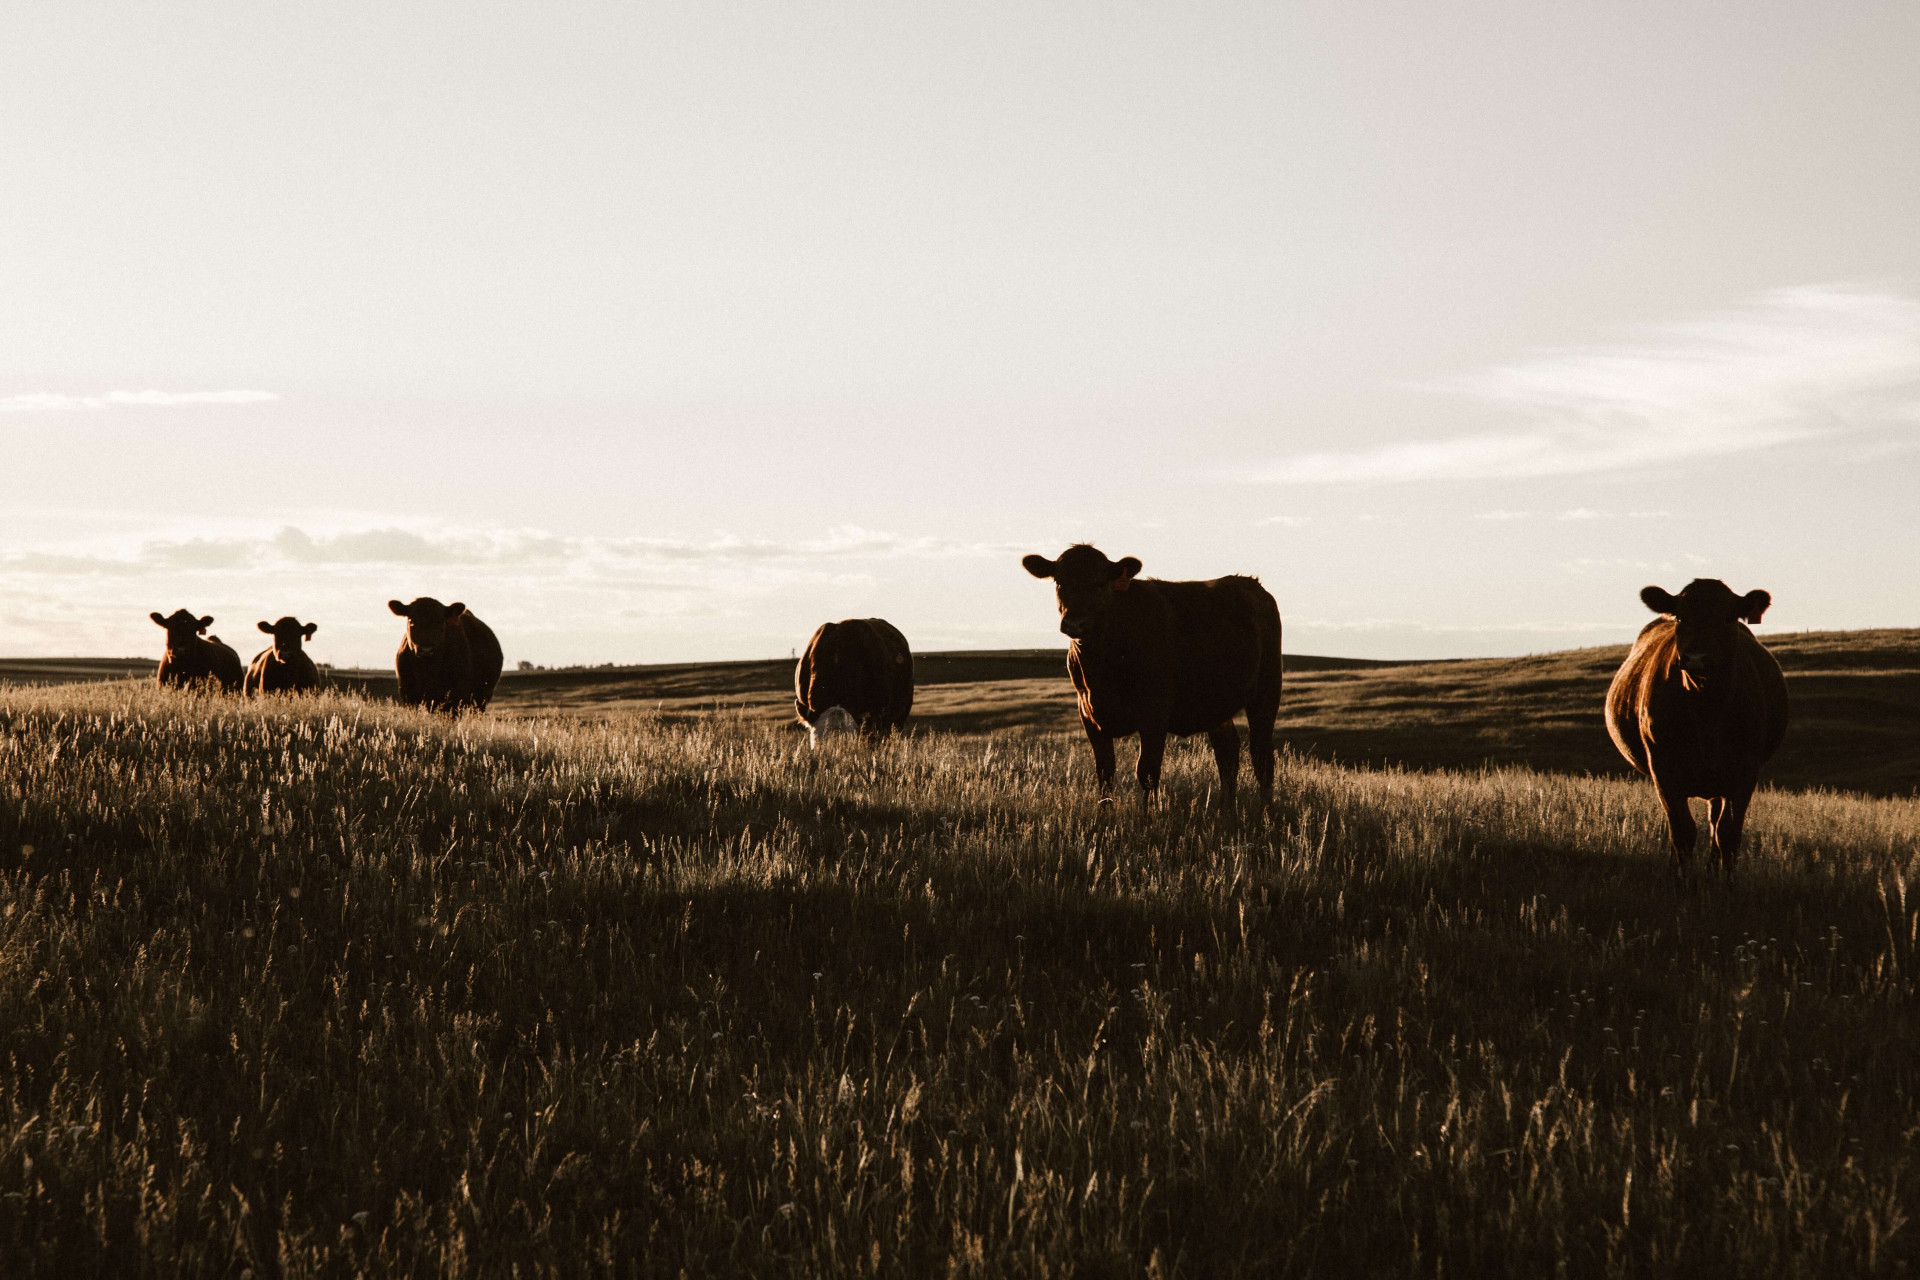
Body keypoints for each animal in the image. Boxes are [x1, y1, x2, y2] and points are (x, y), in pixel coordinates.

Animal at [1021, 545, 1274, 809]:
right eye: (1059, 582)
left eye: (1100, 583)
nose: (1074, 624)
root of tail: (1249, 583)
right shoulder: (1089, 715)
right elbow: (1104, 773)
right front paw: (1105, 816)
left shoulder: (1154, 713)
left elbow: (1147, 772)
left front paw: (1149, 816)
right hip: (1216, 705)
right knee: (1228, 752)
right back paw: (1227, 809)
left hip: (1266, 690)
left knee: (1262, 755)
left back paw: (1266, 810)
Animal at [1605, 579, 1781, 882]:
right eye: (1680, 616)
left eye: (1728, 617)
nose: (1696, 658)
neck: (1705, 710)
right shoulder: (1663, 766)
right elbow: (1682, 832)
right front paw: (1682, 883)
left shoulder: (1745, 769)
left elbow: (1728, 834)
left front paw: (1727, 884)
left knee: (1715, 822)